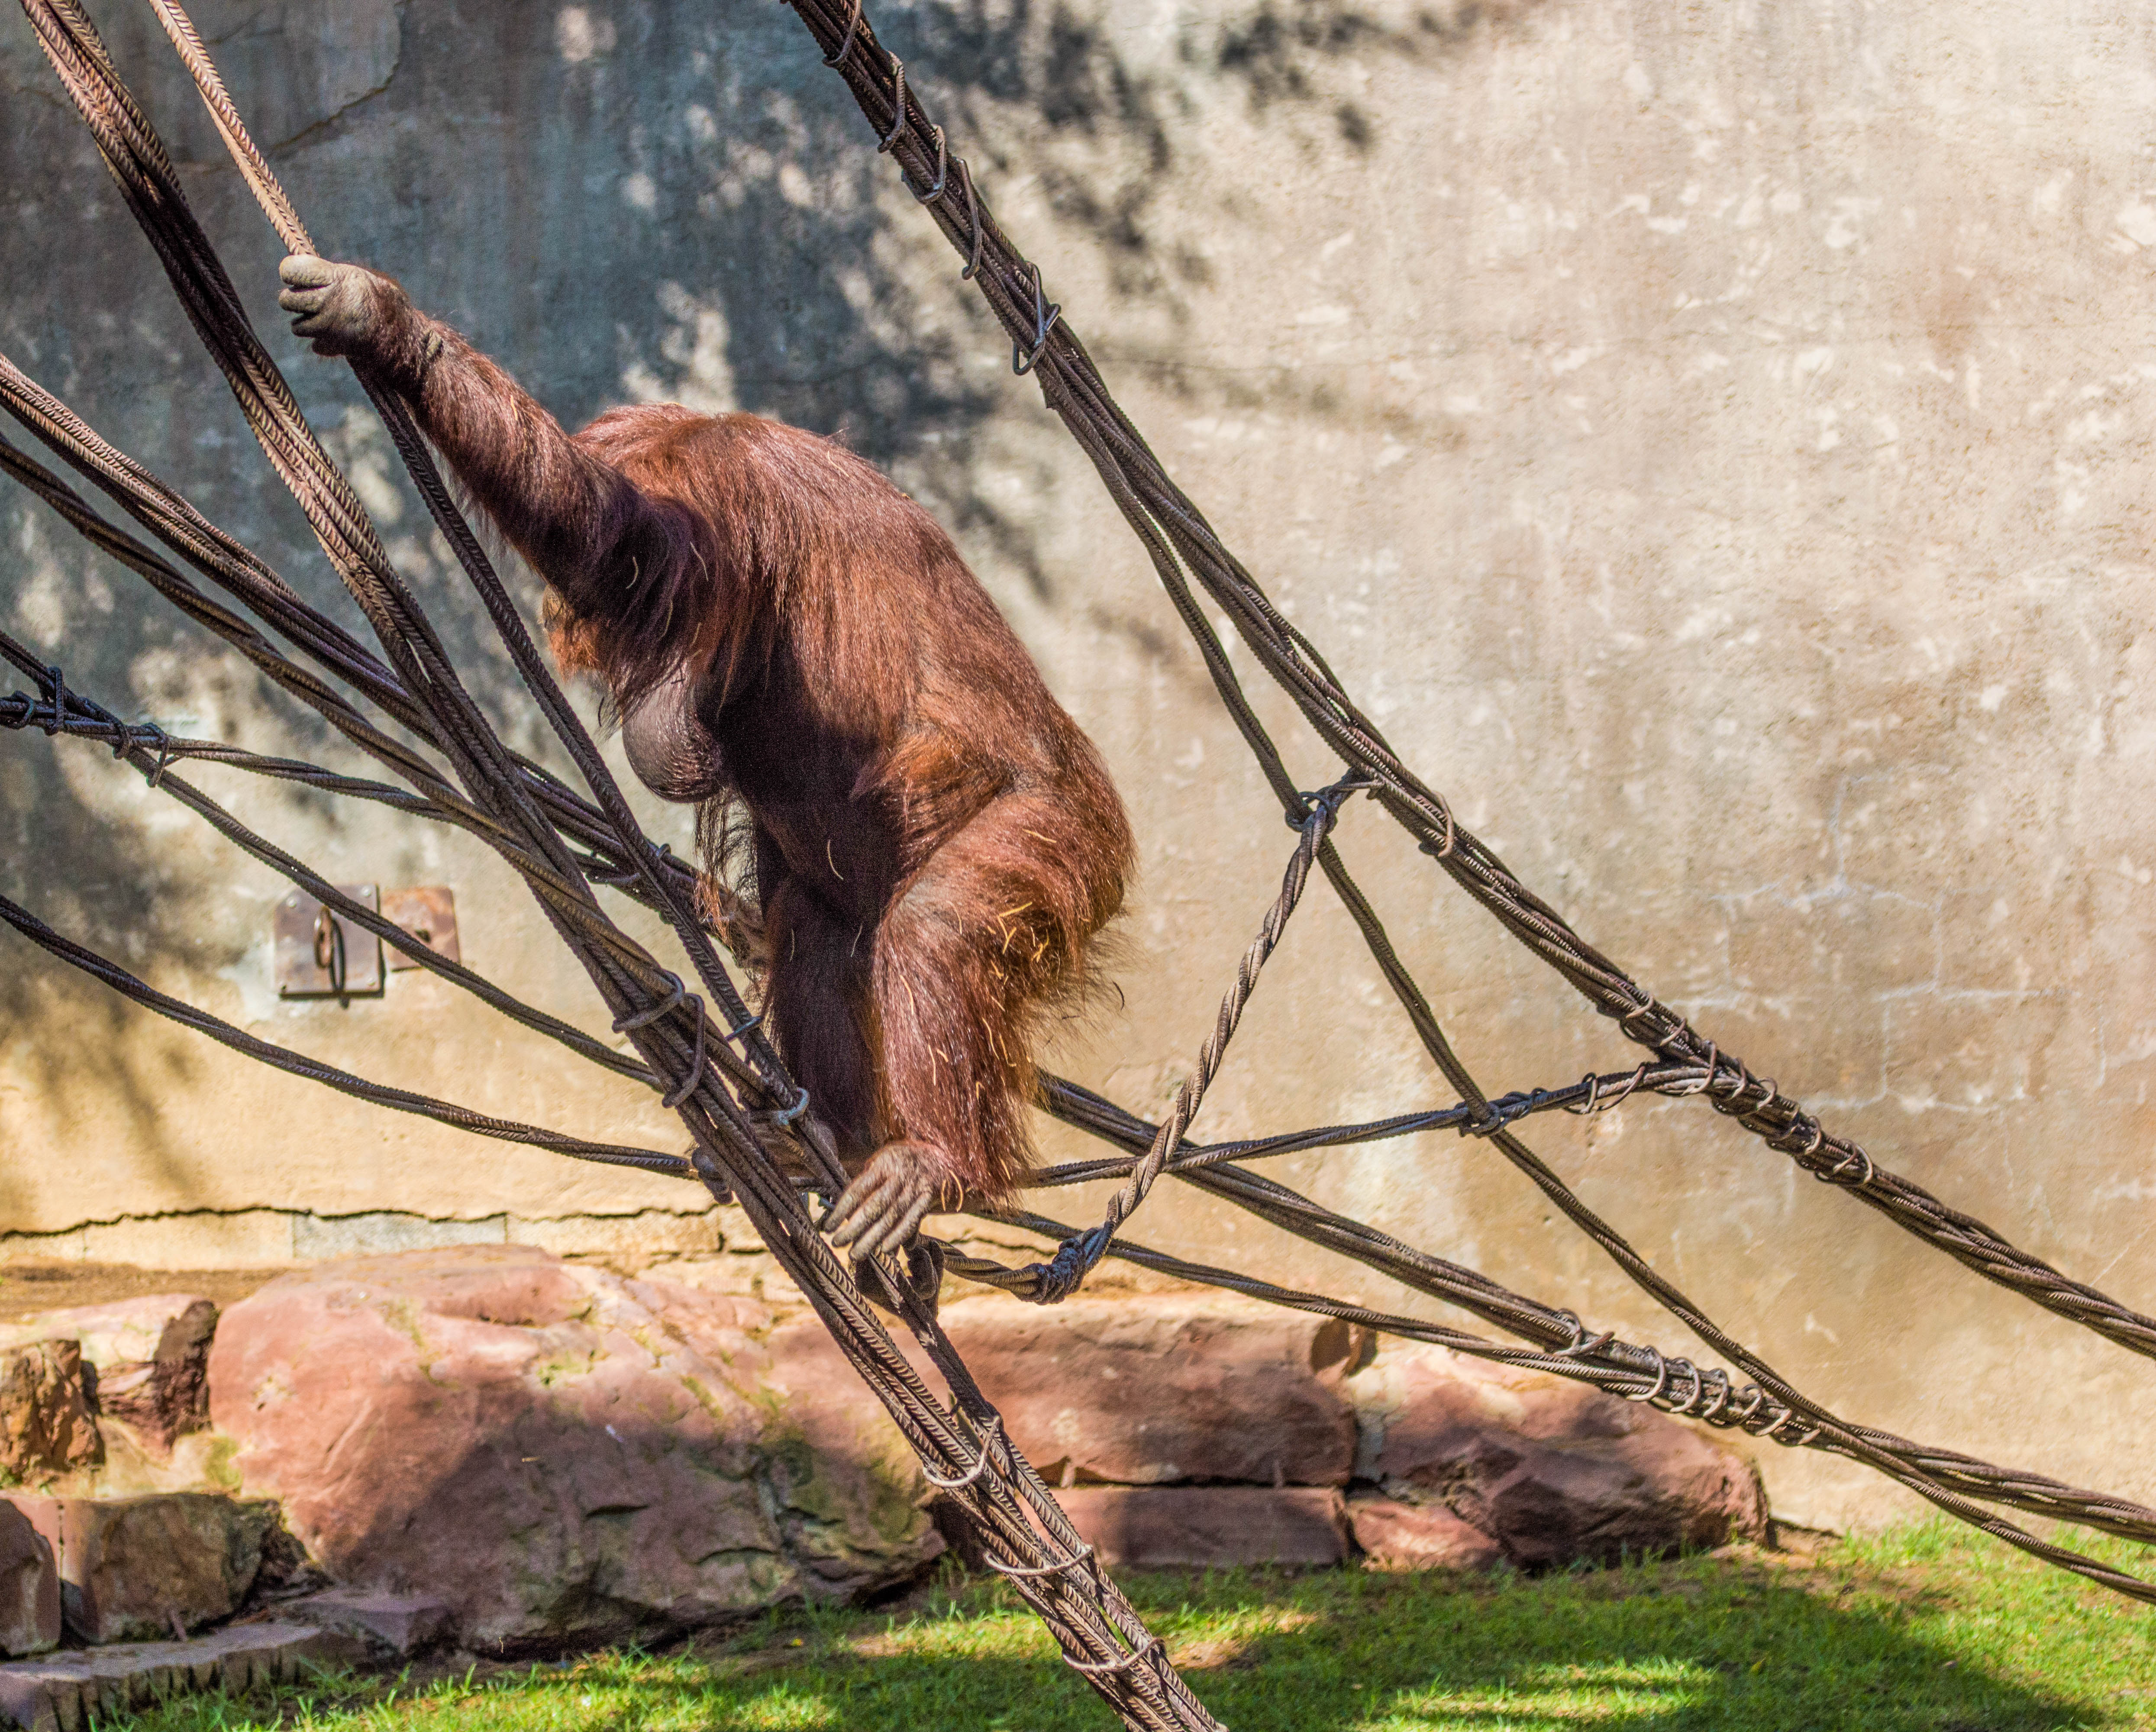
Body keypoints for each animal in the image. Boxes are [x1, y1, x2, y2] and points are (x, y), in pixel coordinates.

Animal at [277, 254, 1133, 1266]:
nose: (619, 658)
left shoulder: (714, 504)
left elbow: (610, 529)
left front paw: (384, 324)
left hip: (1063, 830)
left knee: (937, 923)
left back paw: (932, 1161)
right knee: (816, 924)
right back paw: (836, 1139)